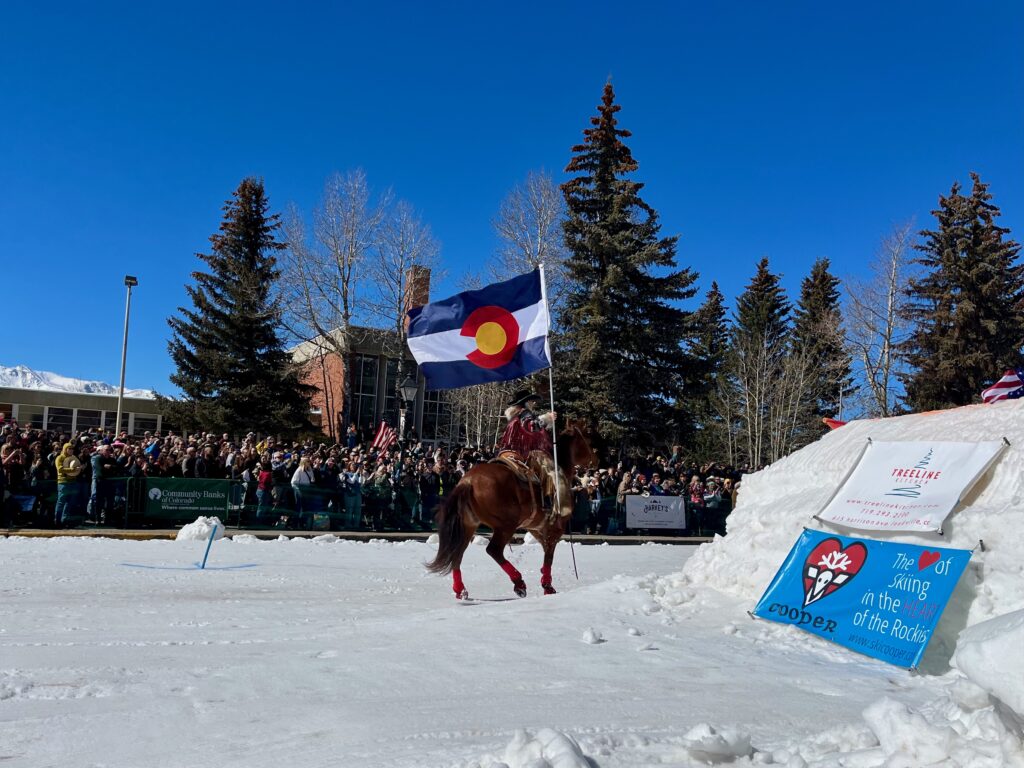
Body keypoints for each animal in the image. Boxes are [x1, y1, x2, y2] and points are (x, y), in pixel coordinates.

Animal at [425, 423, 598, 598]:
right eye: (589, 439)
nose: (597, 461)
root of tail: (468, 481)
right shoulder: (554, 529)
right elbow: (549, 555)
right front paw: (547, 586)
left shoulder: (536, 528)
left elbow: (546, 551)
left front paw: (544, 579)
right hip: (505, 526)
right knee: (493, 550)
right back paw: (519, 583)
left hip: (469, 526)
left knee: (457, 553)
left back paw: (460, 589)